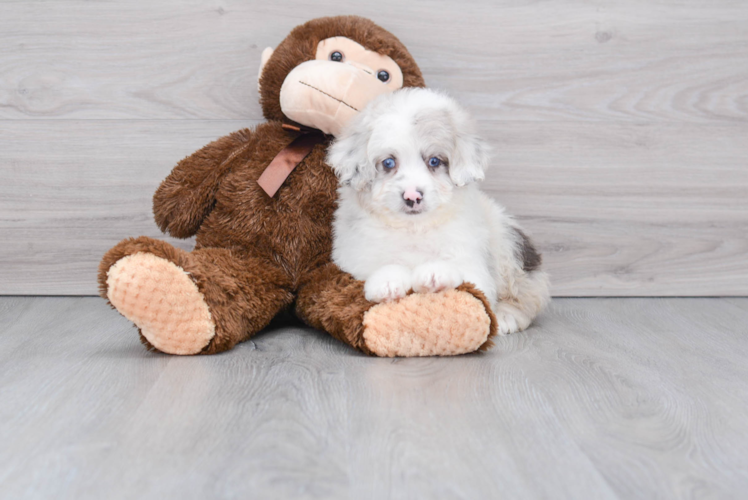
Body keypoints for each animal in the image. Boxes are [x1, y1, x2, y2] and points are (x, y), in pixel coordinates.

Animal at [328, 89, 548, 336]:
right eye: (388, 162)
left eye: (434, 161)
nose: (412, 196)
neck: (414, 229)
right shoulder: (354, 258)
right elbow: (380, 266)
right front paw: (387, 281)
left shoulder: (473, 264)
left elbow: (461, 273)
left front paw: (435, 273)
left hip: (507, 240)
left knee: (528, 292)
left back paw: (506, 315)